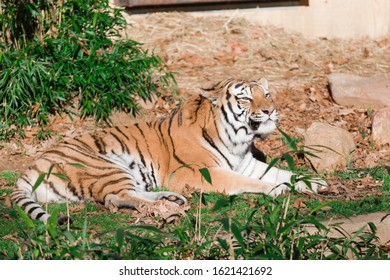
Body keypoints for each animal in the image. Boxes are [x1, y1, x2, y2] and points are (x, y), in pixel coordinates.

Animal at [10, 77, 326, 222]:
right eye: (246, 98)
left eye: (267, 94)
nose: (271, 110)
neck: (239, 140)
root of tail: (33, 165)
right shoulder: (201, 173)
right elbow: (243, 182)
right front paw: (277, 190)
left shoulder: (247, 163)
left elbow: (282, 171)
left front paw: (315, 182)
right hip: (105, 166)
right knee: (116, 197)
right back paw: (168, 205)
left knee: (121, 196)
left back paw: (171, 199)